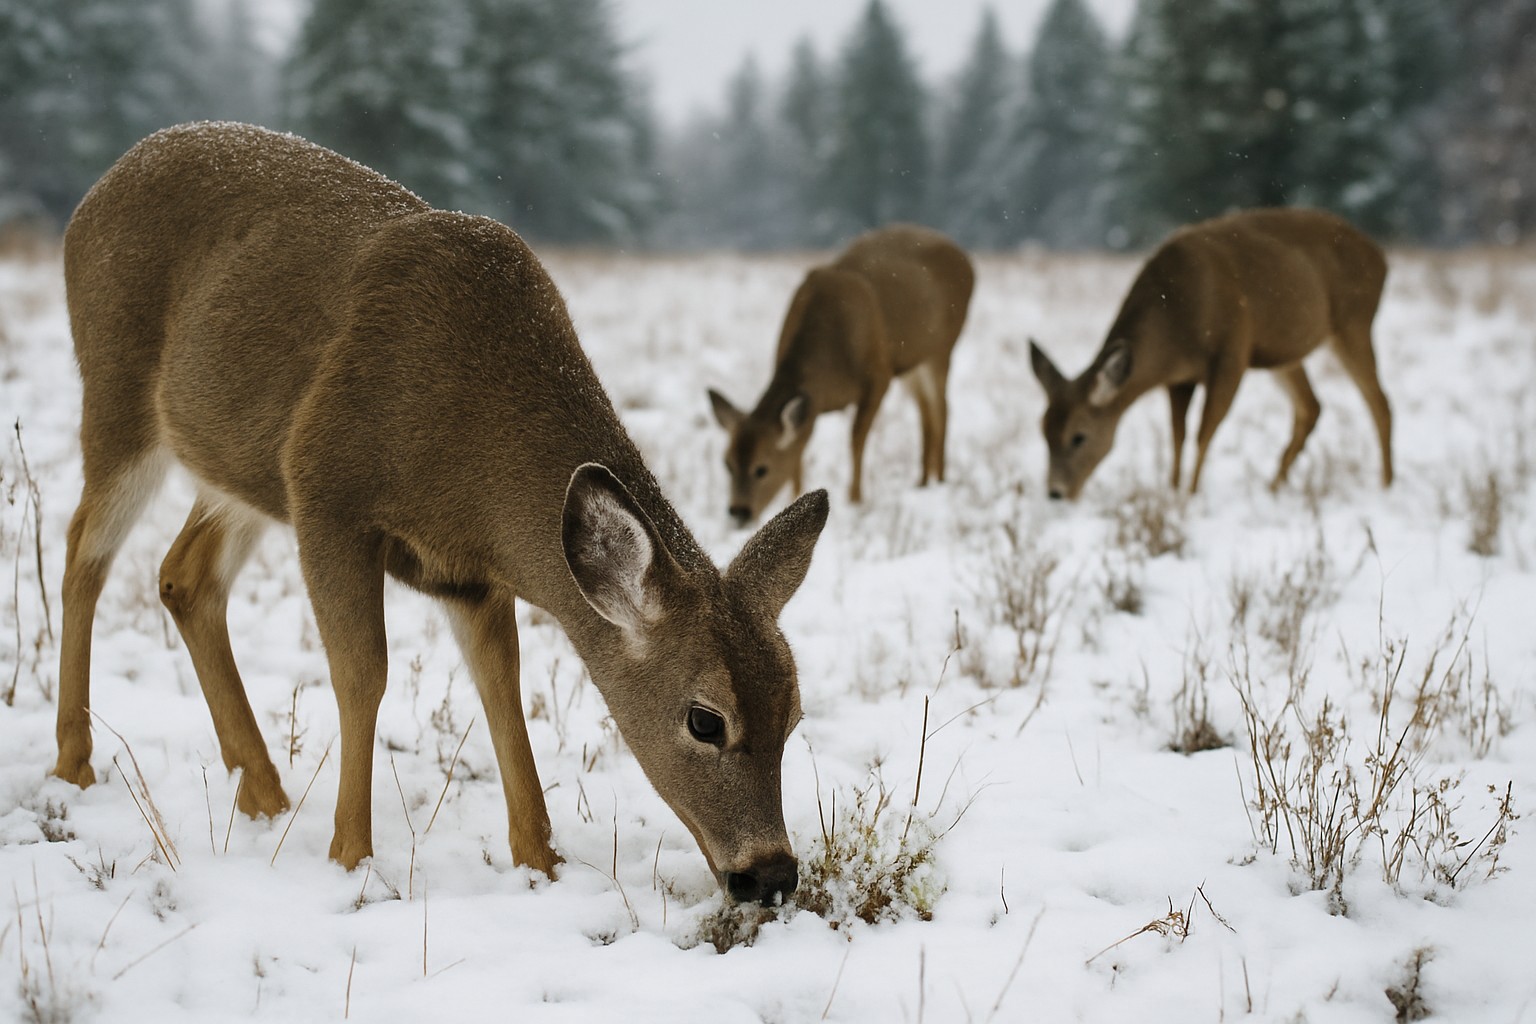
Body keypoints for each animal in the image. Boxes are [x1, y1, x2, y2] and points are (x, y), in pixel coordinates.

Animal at [52, 122, 830, 905]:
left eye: (794, 712)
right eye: (705, 720)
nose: (771, 874)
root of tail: (97, 192)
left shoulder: (467, 573)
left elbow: (501, 687)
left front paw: (540, 863)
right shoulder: (324, 484)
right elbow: (363, 673)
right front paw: (351, 858)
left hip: (236, 470)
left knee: (184, 575)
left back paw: (264, 797)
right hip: (118, 396)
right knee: (84, 551)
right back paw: (74, 765)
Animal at [707, 224, 973, 525]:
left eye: (762, 468)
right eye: (727, 463)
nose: (738, 512)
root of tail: (964, 257)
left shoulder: (879, 376)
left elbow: (856, 439)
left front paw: (855, 499)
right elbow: (800, 448)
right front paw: (795, 497)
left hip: (943, 347)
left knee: (942, 407)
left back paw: (939, 479)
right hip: (913, 361)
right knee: (925, 410)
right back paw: (922, 481)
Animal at [1028, 207, 1393, 500]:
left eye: (1079, 437)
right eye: (1043, 431)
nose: (1055, 493)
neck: (1174, 323)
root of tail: (1381, 257)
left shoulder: (1232, 354)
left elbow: (1204, 433)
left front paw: (1190, 496)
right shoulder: (1179, 378)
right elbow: (1177, 435)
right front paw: (1172, 491)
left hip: (1355, 322)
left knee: (1380, 402)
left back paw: (1387, 483)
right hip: (1286, 352)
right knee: (1311, 406)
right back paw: (1273, 486)